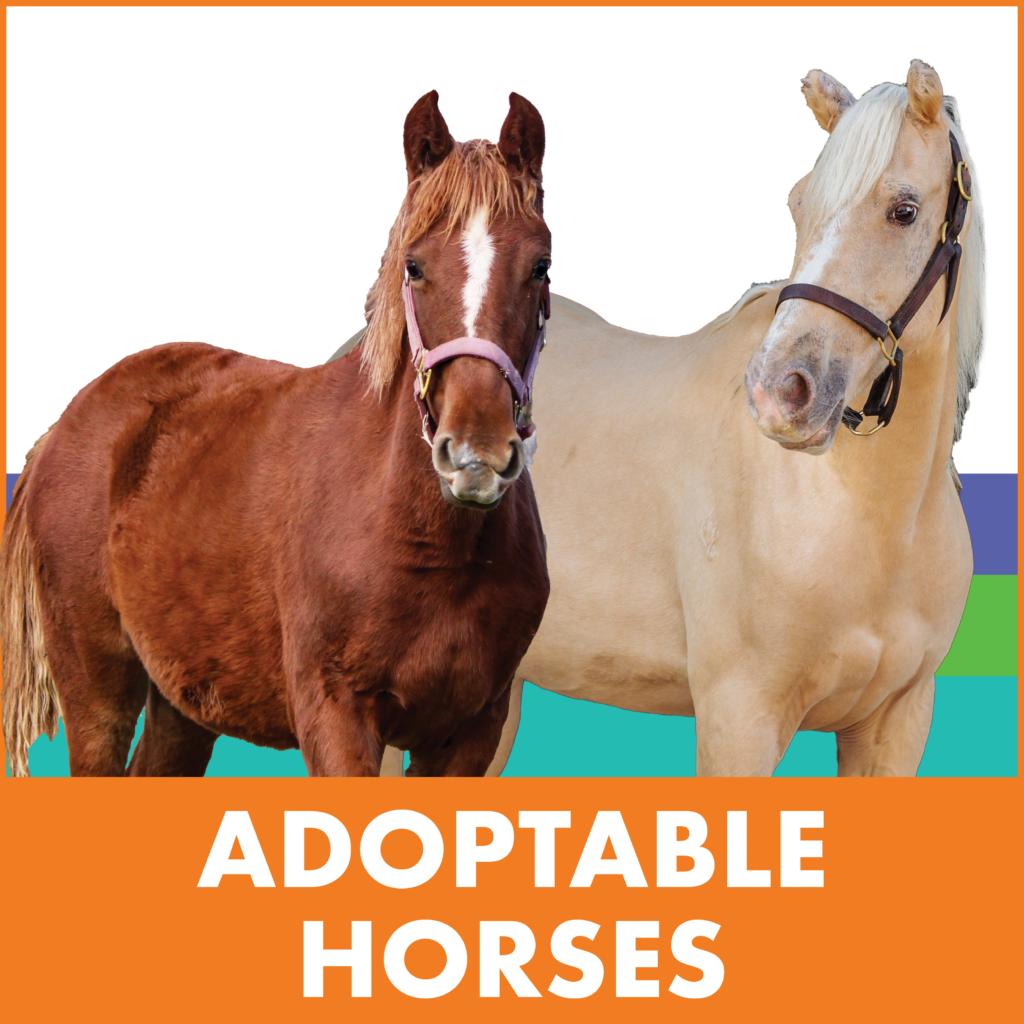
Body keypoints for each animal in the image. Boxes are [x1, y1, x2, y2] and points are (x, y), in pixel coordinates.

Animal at [2, 91, 552, 778]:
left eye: (540, 265)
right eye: (414, 266)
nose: (475, 454)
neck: (430, 546)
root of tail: (62, 426)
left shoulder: (468, 733)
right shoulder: (336, 717)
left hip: (184, 703)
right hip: (96, 690)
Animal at [380, 60, 983, 778]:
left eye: (904, 210)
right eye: (798, 205)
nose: (781, 391)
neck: (874, 519)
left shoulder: (897, 723)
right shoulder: (740, 718)